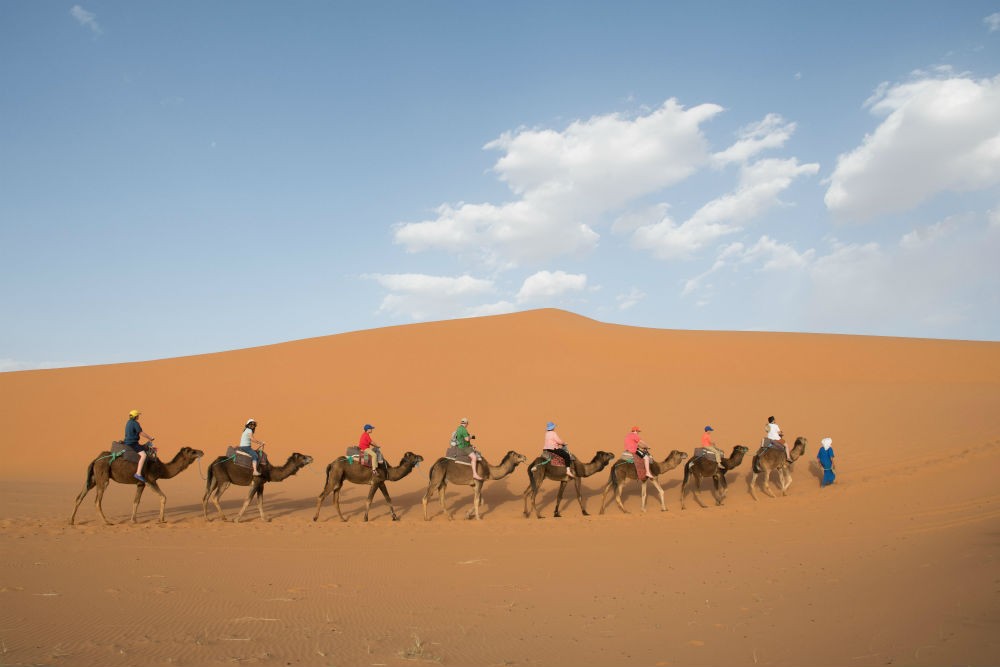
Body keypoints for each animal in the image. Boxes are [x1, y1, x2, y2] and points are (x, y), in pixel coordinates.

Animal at [69, 444, 204, 528]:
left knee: (79, 497)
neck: (162, 469)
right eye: (192, 451)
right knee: (97, 501)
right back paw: (107, 522)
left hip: (93, 479)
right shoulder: (150, 480)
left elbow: (136, 501)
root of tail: (95, 460)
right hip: (103, 477)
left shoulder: (141, 483)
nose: (202, 451)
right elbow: (163, 497)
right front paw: (161, 519)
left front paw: (133, 520)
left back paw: (71, 521)